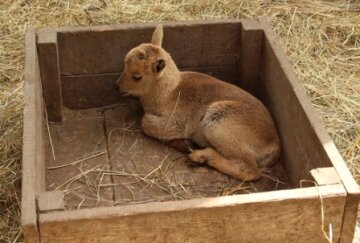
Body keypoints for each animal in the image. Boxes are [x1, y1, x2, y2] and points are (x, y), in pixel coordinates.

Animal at [115, 24, 282, 181]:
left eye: (137, 77)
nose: (117, 87)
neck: (170, 92)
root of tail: (273, 145)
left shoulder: (177, 122)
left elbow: (146, 122)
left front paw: (185, 145)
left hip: (220, 124)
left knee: (250, 170)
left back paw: (199, 156)